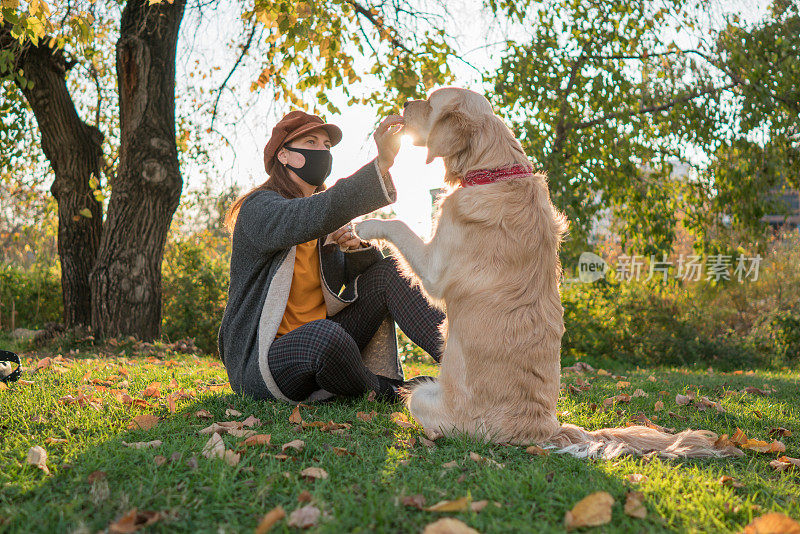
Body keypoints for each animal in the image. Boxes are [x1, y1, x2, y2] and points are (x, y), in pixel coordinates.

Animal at [356, 89, 744, 460]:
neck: (495, 172)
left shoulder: (435, 269)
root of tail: (542, 430)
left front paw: (365, 224)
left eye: (430, 101)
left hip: (422, 393)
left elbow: (400, 224)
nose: (406, 102)